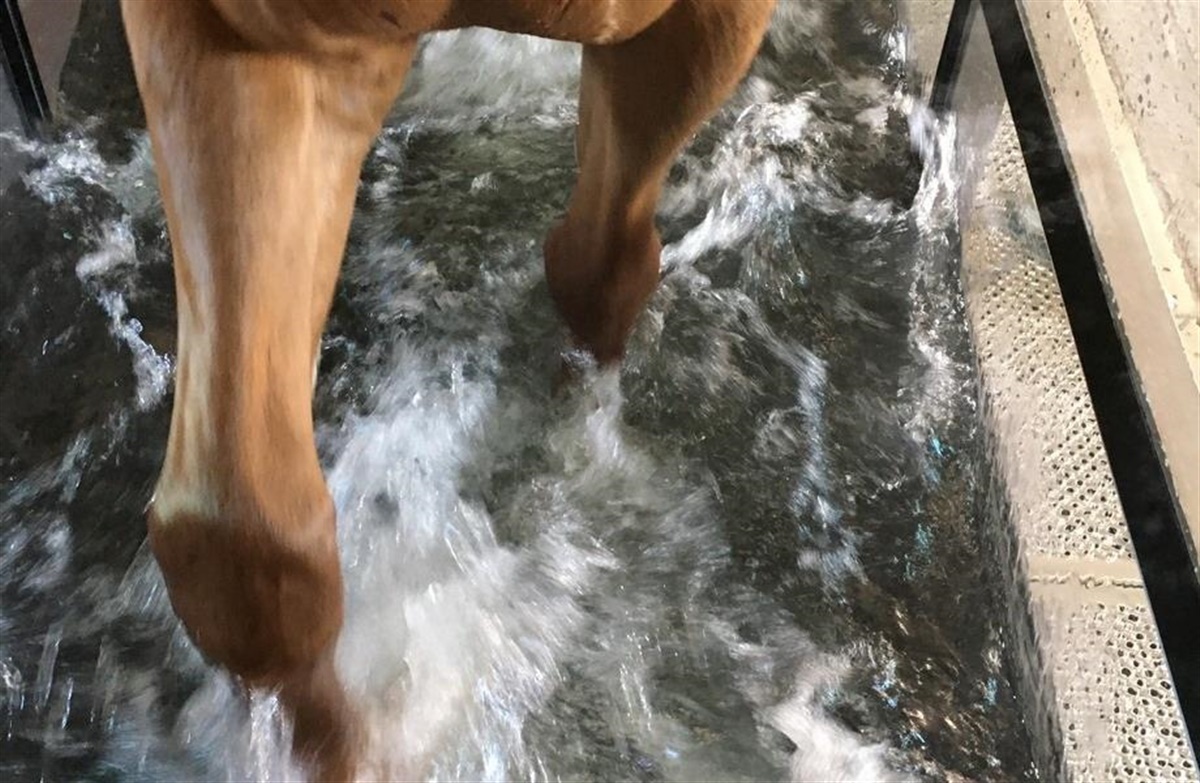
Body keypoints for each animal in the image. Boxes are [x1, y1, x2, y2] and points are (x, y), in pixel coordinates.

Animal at [119, 0, 775, 778]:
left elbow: (604, 267)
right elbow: (241, 537)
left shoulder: (700, 24)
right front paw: (340, 755)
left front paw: (570, 443)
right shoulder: (237, 42)